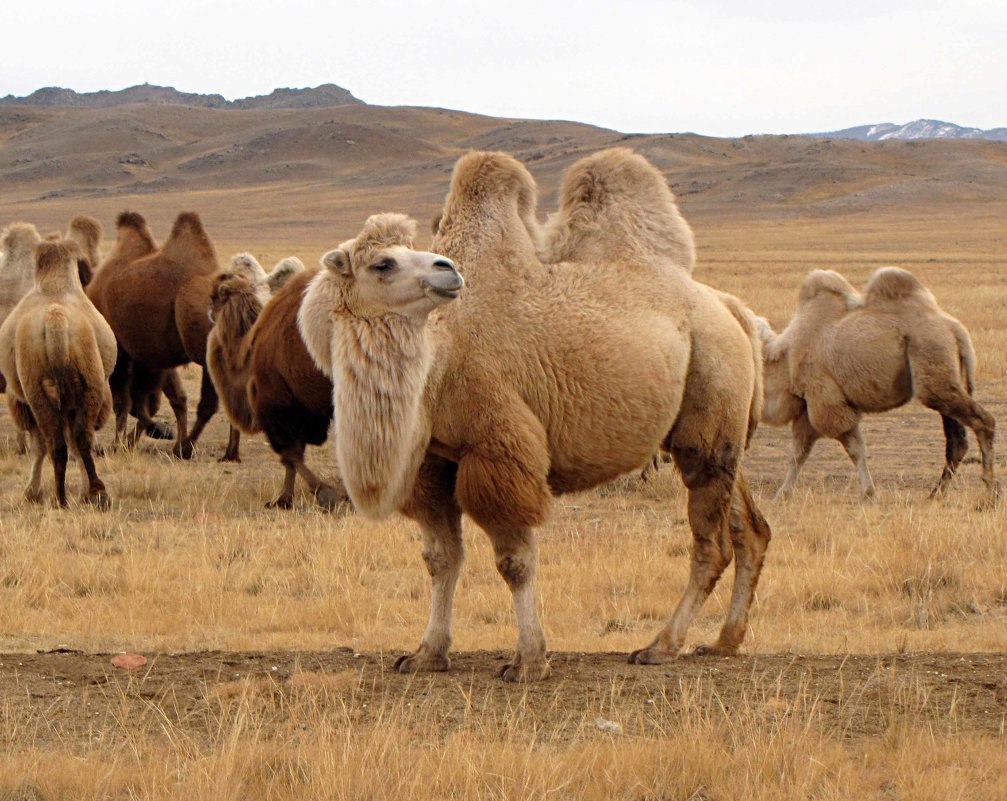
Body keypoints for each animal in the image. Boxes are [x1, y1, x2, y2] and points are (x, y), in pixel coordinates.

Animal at [0, 237, 116, 507]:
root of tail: (57, 319)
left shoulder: (22, 399)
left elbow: (38, 444)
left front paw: (32, 493)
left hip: (38, 390)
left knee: (58, 441)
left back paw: (64, 496)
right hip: (88, 384)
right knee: (78, 438)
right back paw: (90, 495)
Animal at [84, 209, 237, 461]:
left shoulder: (124, 351)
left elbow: (127, 403)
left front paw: (120, 443)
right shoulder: (153, 357)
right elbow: (165, 399)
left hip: (202, 349)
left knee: (208, 402)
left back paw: (187, 447)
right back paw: (224, 451)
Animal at [205, 268, 346, 507]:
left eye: (213, 296)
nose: (209, 313)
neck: (248, 352)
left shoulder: (276, 403)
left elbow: (290, 454)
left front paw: (325, 493)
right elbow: (293, 457)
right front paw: (284, 500)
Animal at [298, 147, 769, 681]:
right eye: (383, 263)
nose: (448, 271)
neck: (439, 358)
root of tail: (733, 311)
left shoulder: (499, 446)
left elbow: (514, 560)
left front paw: (528, 659)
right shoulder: (432, 462)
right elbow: (440, 558)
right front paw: (426, 654)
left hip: (709, 404)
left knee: (711, 543)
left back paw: (660, 645)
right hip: (720, 432)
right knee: (750, 530)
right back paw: (724, 642)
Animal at [757, 265, 994, 503]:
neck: (786, 359)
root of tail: (955, 330)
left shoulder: (825, 400)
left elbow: (853, 449)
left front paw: (869, 494)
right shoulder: (808, 406)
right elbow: (799, 453)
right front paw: (782, 494)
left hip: (933, 361)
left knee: (983, 421)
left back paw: (990, 495)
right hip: (943, 374)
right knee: (957, 439)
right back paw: (936, 495)